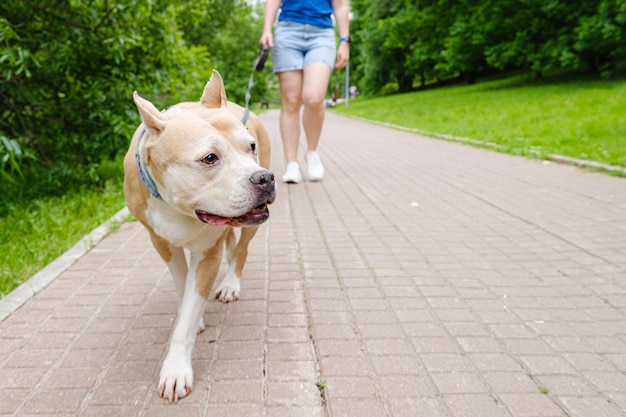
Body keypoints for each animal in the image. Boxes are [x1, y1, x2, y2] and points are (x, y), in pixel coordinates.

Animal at [123, 70, 274, 402]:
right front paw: (194, 317)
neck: (177, 207)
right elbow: (184, 288)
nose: (264, 178)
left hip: (252, 225)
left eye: (251, 146)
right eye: (209, 158)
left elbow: (191, 305)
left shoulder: (208, 253)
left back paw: (230, 284)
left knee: (240, 251)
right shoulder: (161, 242)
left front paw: (176, 369)